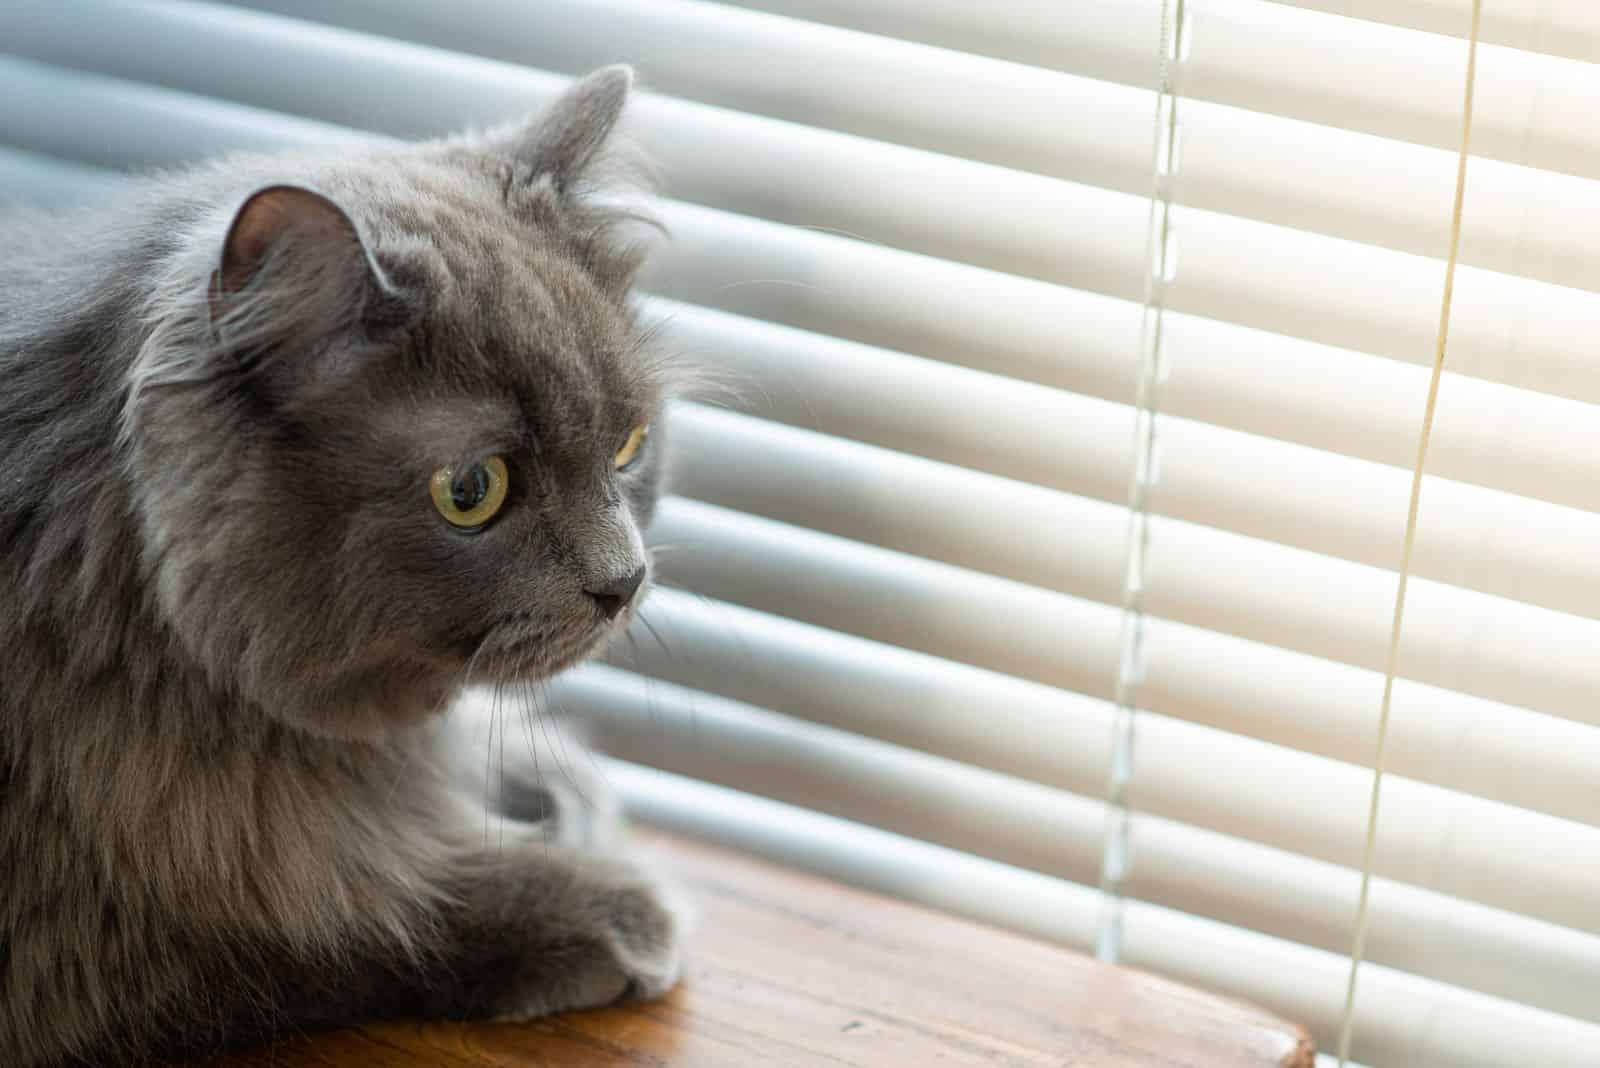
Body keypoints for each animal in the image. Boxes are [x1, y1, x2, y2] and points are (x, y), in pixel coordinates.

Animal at [0, 68, 681, 1068]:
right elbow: (362, 916)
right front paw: (601, 905)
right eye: (471, 490)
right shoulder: (101, 945)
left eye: (629, 445)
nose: (622, 583)